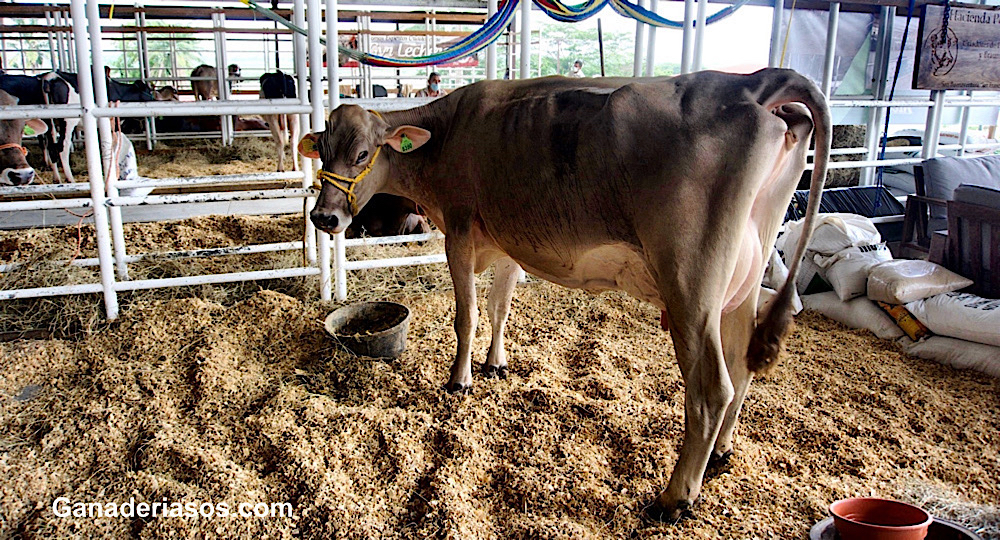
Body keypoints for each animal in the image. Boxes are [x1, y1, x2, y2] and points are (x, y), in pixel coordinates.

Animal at [300, 69, 832, 520]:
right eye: (323, 150)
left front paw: (460, 380)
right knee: (742, 366)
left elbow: (466, 314)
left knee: (711, 388)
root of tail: (751, 82)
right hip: (746, 274)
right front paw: (495, 364)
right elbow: (499, 306)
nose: (324, 217)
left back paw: (674, 497)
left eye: (362, 155)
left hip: (691, 285)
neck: (450, 133)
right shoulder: (509, 237)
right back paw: (721, 452)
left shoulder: (460, 231)